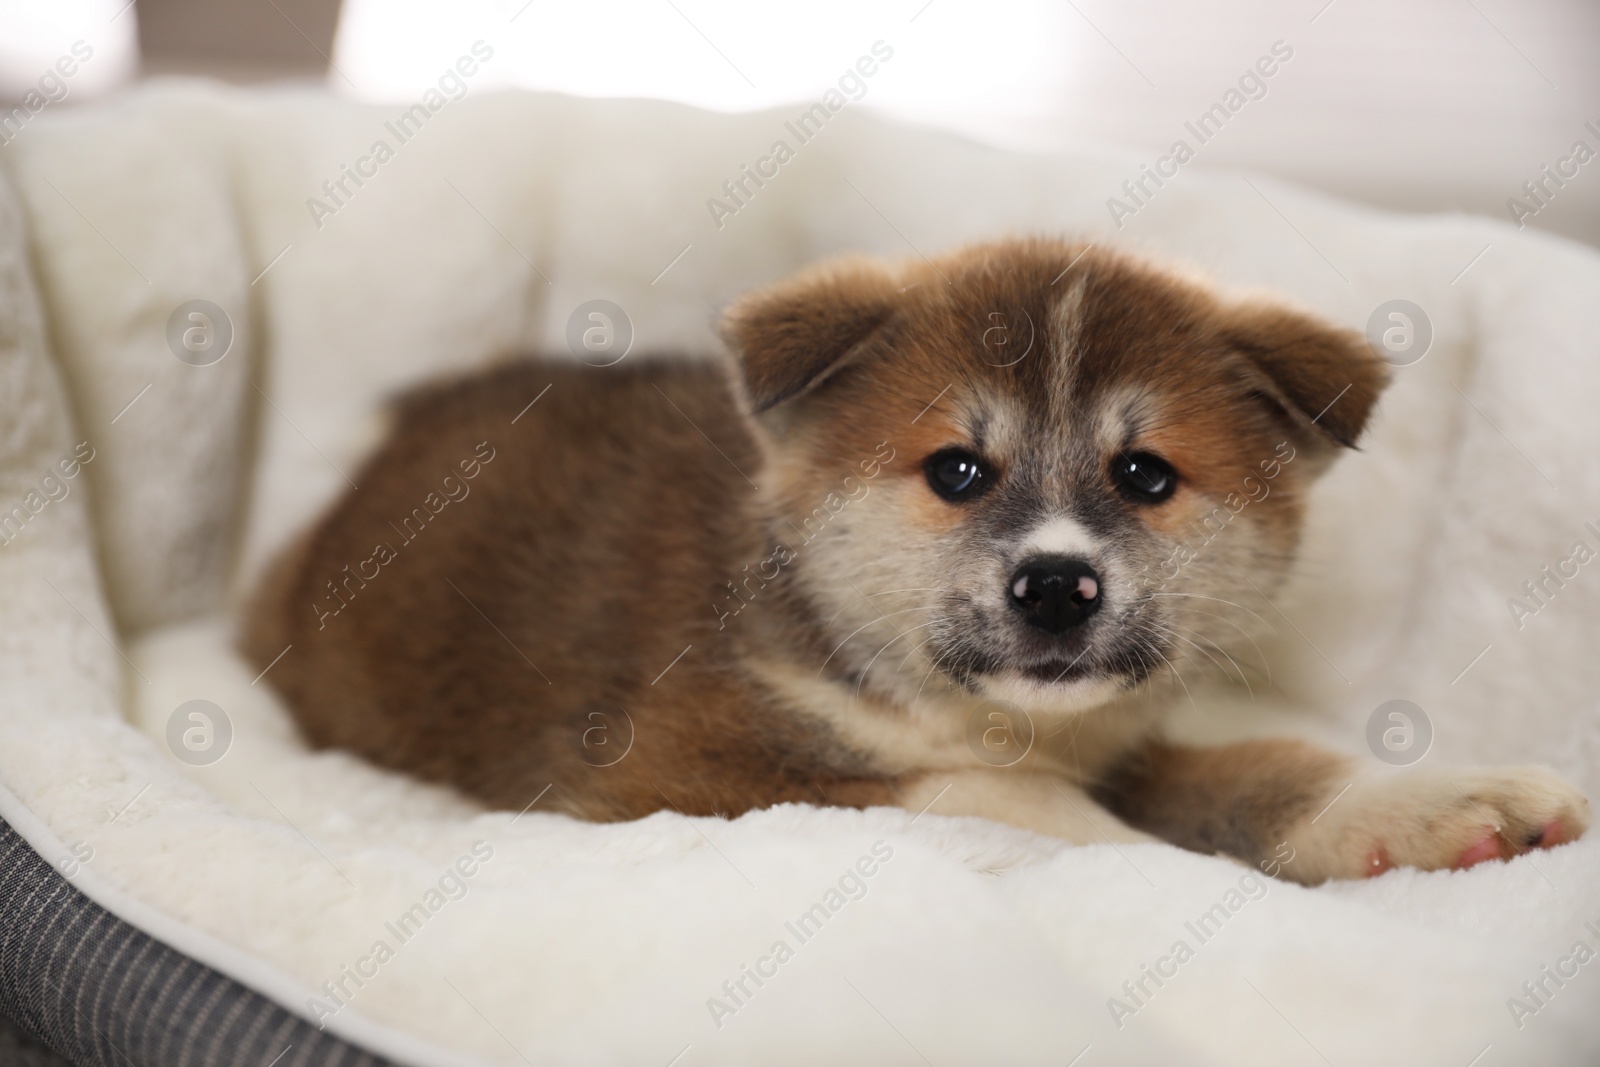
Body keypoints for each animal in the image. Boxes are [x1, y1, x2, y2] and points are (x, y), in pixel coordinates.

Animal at [246, 239, 1587, 883]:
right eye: (956, 469)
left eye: (1145, 475)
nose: (1055, 583)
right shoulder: (665, 769)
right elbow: (1010, 801)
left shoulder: (1119, 736)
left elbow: (1263, 768)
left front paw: (1422, 806)